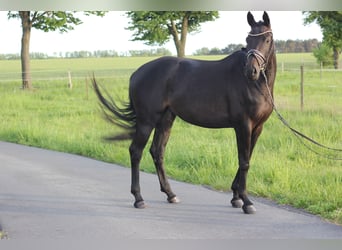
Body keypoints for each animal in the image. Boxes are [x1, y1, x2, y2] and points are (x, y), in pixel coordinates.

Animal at [92, 11, 276, 214]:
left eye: (267, 39)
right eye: (248, 39)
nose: (251, 71)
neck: (256, 85)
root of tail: (137, 73)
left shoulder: (257, 127)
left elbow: (247, 158)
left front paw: (236, 197)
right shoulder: (243, 125)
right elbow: (244, 161)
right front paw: (246, 201)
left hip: (165, 119)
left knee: (157, 151)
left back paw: (170, 194)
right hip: (147, 120)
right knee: (136, 151)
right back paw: (138, 198)